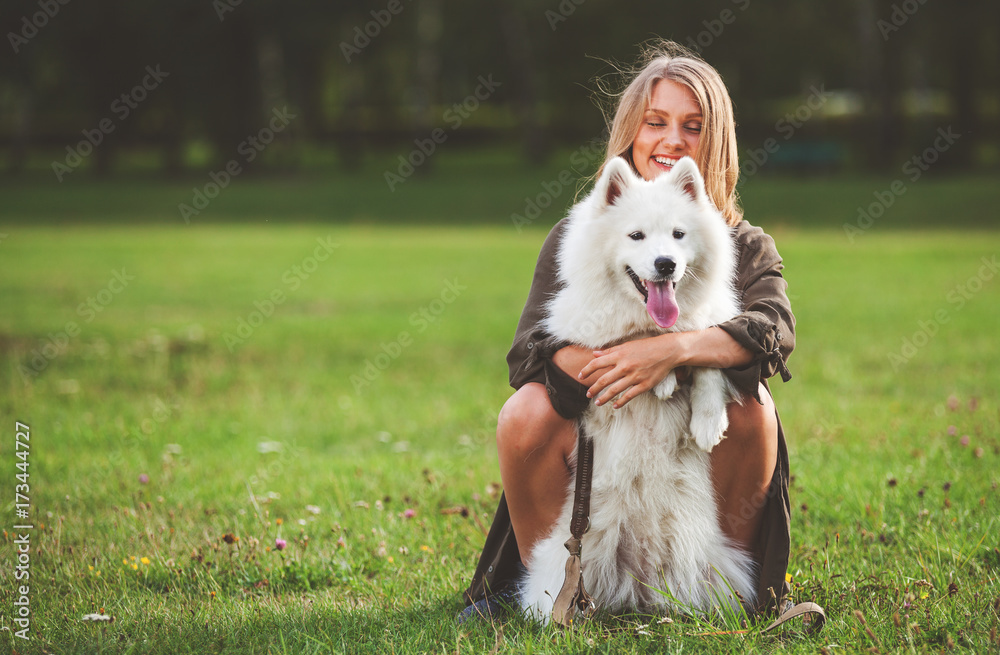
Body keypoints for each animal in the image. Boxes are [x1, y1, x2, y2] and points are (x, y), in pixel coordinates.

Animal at [524, 156, 756, 624]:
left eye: (679, 235)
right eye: (636, 236)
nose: (665, 263)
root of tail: (638, 582)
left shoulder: (716, 323)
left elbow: (704, 351)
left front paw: (706, 418)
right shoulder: (580, 338)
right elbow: (628, 340)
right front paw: (658, 371)